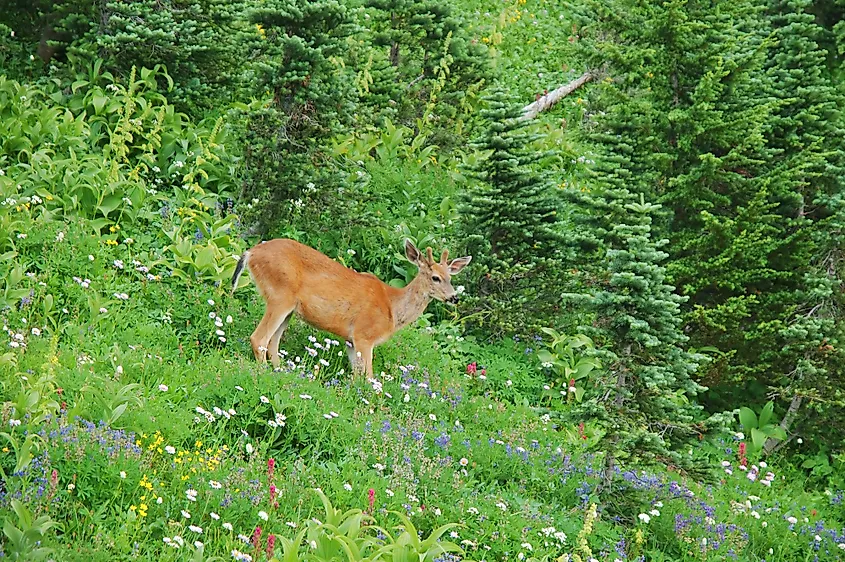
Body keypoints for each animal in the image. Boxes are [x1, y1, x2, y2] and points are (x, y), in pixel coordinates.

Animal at [227, 237, 472, 376]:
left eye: (450, 277)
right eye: (435, 278)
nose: (454, 298)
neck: (392, 309)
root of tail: (250, 253)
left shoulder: (351, 341)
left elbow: (356, 375)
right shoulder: (365, 335)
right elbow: (369, 377)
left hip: (288, 308)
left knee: (272, 344)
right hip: (280, 296)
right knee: (259, 339)